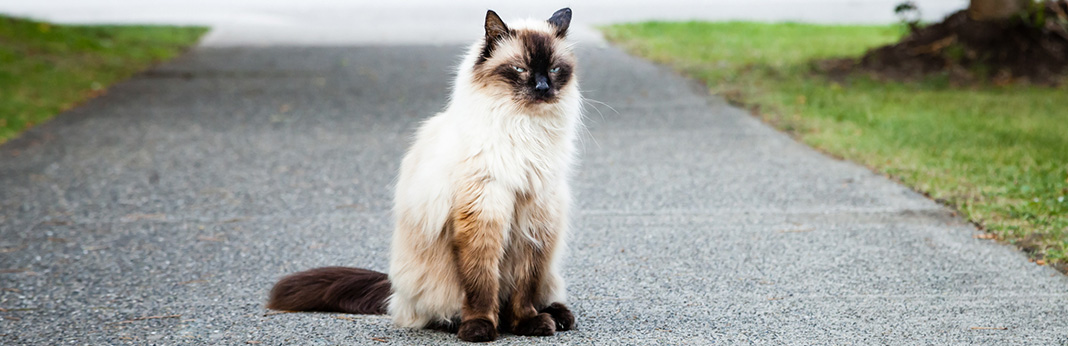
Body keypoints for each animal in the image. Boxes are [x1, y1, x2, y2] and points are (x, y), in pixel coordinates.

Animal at [267, 8, 585, 343]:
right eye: (519, 69)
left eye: (554, 69)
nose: (543, 88)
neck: (524, 129)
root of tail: (394, 291)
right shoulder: (482, 215)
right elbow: (481, 284)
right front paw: (480, 328)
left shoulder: (534, 220)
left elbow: (525, 288)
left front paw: (528, 324)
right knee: (442, 310)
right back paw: (468, 323)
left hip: (550, 268)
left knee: (540, 294)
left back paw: (556, 316)